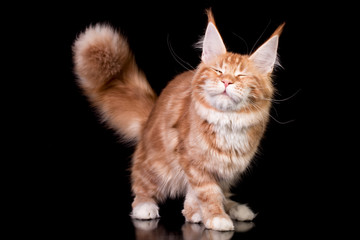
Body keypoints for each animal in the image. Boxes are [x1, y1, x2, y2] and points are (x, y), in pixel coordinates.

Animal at [72, 10, 284, 232]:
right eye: (218, 71)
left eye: (241, 75)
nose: (226, 81)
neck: (228, 121)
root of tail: (150, 117)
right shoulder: (192, 161)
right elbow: (207, 193)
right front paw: (214, 217)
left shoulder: (221, 169)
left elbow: (203, 193)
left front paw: (198, 214)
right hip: (157, 165)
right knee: (141, 184)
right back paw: (144, 207)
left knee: (223, 194)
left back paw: (236, 209)